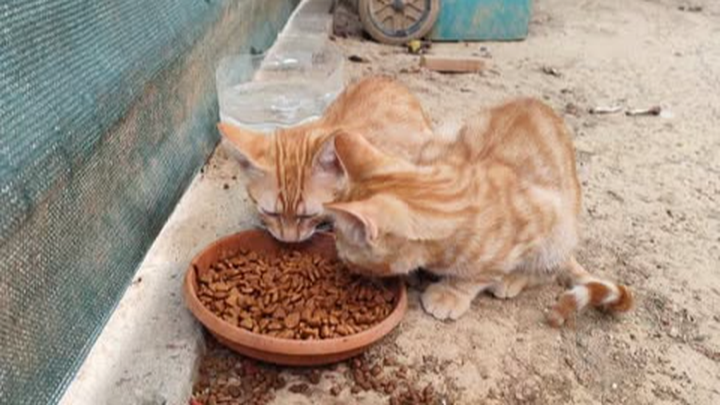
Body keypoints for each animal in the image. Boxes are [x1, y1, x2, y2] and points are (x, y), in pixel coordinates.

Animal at [323, 98, 633, 326]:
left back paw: (514, 279)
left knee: (548, 269)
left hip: (561, 232)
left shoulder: (544, 213)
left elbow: (480, 274)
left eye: (343, 250)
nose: (339, 261)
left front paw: (452, 292)